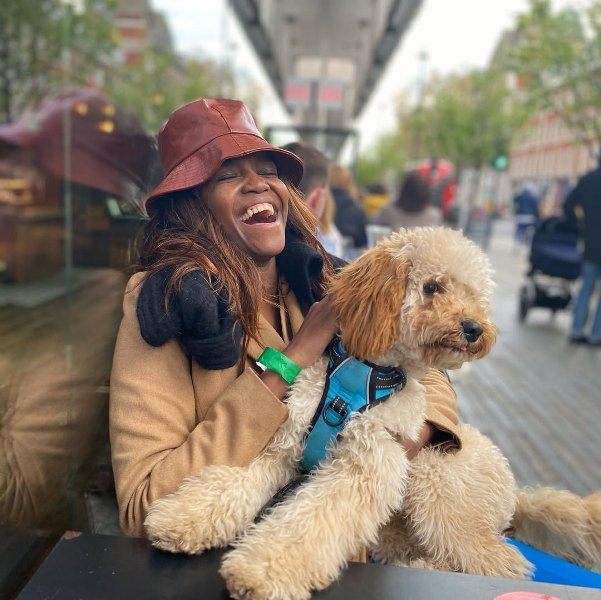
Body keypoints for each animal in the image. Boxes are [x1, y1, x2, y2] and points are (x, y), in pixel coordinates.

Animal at [144, 226, 596, 600]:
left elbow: (309, 521)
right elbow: (232, 482)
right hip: (404, 518)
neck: (362, 373)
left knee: (503, 565)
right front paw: (184, 518)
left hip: (435, 479)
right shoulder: (285, 446)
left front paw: (260, 570)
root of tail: (515, 492)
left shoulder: (364, 469)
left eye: (474, 294)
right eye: (432, 287)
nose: (475, 329)